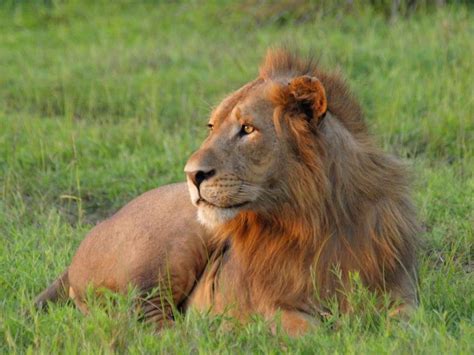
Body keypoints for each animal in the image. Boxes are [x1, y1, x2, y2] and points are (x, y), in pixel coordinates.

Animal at [35, 49, 418, 336]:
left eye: (247, 129)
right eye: (212, 126)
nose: (192, 174)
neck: (312, 222)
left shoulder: (400, 292)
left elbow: (409, 325)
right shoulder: (270, 304)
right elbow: (307, 330)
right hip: (179, 240)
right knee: (144, 322)